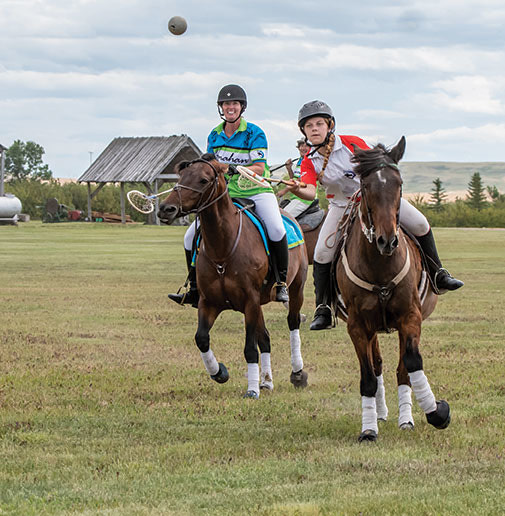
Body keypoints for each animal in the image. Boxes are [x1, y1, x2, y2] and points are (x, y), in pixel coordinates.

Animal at [158, 156, 309, 399]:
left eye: (203, 180)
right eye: (181, 177)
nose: (166, 209)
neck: (223, 247)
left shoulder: (250, 301)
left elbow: (249, 348)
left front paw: (251, 390)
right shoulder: (209, 302)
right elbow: (201, 339)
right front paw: (219, 372)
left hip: (296, 288)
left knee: (292, 322)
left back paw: (297, 373)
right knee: (265, 338)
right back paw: (266, 381)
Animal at [333, 136, 451, 442]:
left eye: (399, 183)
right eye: (365, 186)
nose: (387, 241)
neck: (380, 265)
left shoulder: (410, 316)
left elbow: (410, 363)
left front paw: (437, 412)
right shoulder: (358, 326)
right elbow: (367, 377)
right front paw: (369, 429)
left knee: (400, 370)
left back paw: (405, 419)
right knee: (376, 366)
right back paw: (381, 413)